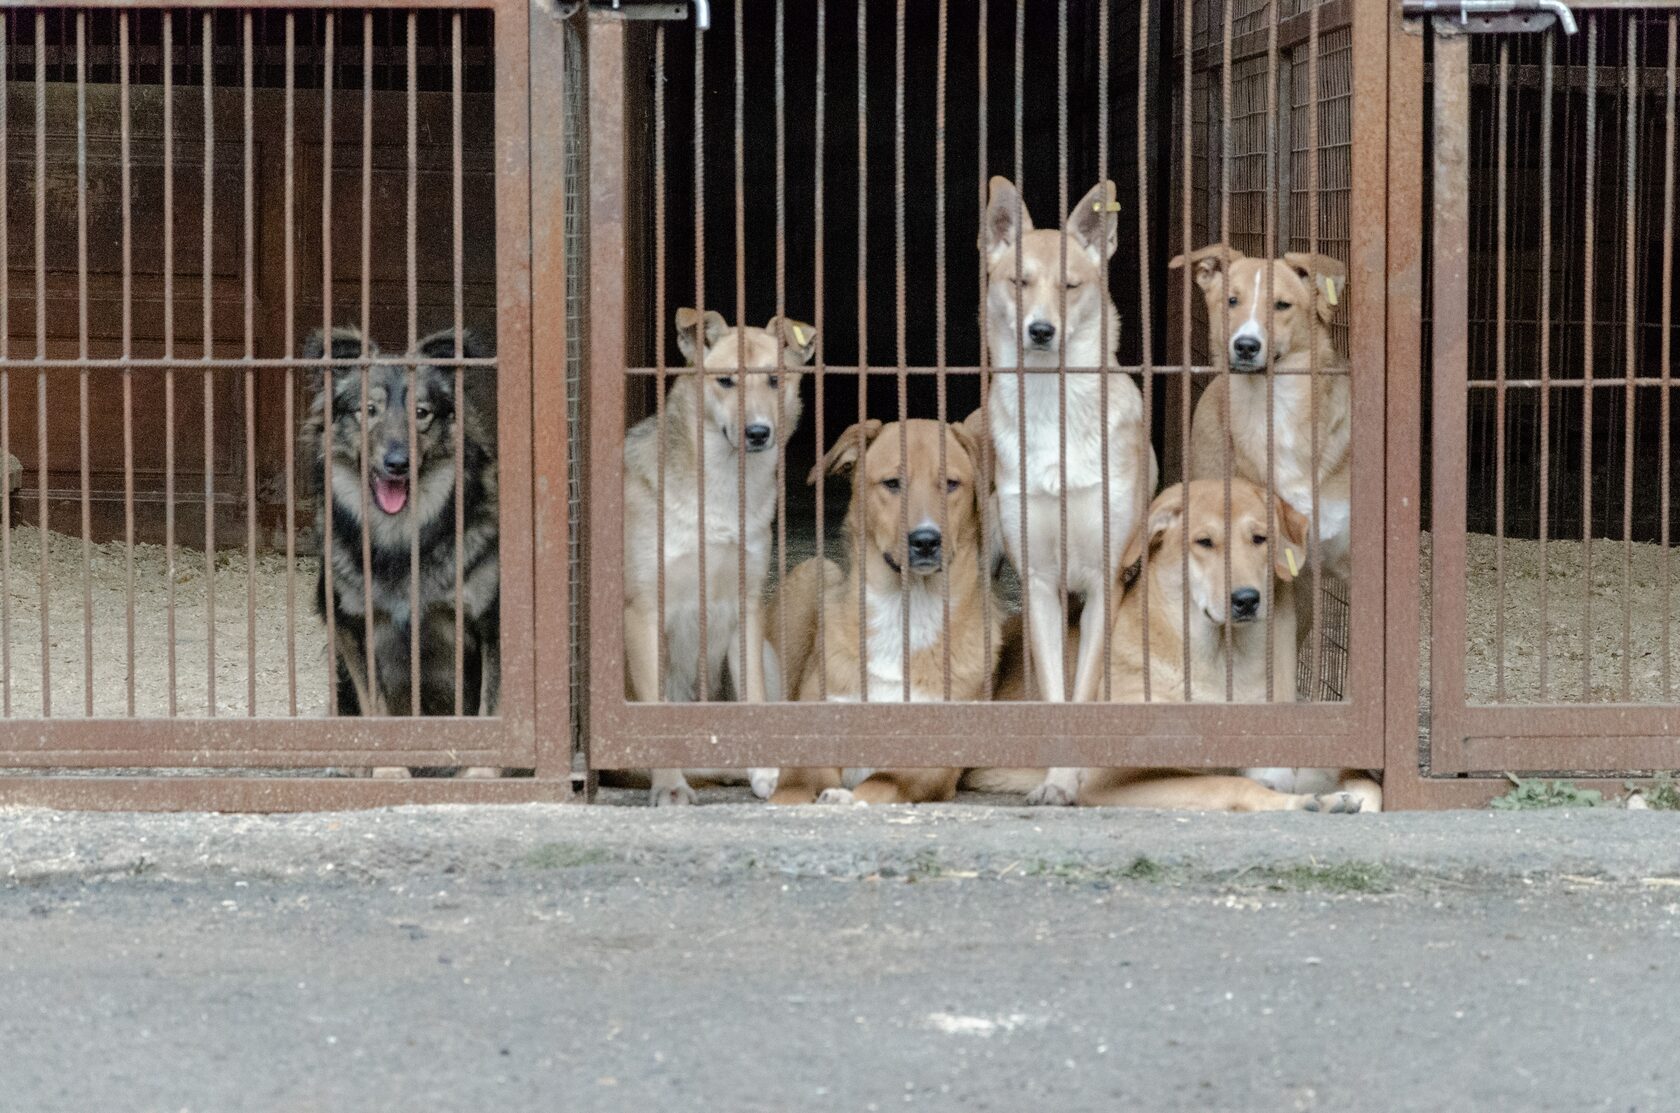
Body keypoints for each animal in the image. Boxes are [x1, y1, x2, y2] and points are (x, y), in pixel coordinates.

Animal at [628, 309, 816, 807]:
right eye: (727, 381)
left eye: (774, 380)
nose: (758, 433)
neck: (721, 490)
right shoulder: (644, 612)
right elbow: (656, 717)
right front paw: (670, 785)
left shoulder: (743, 609)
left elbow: (753, 702)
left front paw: (764, 768)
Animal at [769, 416, 1001, 803]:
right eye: (892, 483)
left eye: (951, 484)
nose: (926, 541)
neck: (904, 610)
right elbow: (790, 792)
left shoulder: (932, 766)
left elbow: (879, 783)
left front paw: (846, 799)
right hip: (816, 570)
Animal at [967, 480, 1384, 810]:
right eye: (1204, 542)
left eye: (1259, 538)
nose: (1247, 600)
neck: (1220, 660)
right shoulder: (1110, 777)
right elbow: (1230, 784)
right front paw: (1306, 803)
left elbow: (1367, 785)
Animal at [981, 174, 1162, 807]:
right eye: (1019, 282)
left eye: (1070, 286)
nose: (1041, 330)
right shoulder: (1038, 583)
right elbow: (1055, 694)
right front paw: (1052, 779)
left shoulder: (1106, 580)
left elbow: (1083, 695)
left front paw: (1067, 780)